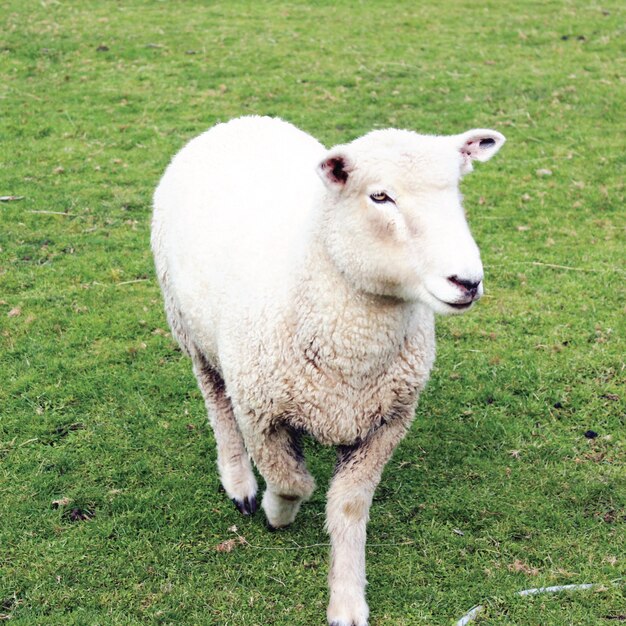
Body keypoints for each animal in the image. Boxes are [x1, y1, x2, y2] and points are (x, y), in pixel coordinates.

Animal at [150, 116, 502, 624]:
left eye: (455, 189)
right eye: (380, 196)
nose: (467, 282)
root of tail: (241, 121)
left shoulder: (385, 423)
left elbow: (349, 509)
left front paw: (348, 598)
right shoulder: (260, 411)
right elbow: (290, 481)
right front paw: (277, 513)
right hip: (191, 332)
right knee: (218, 406)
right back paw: (239, 482)